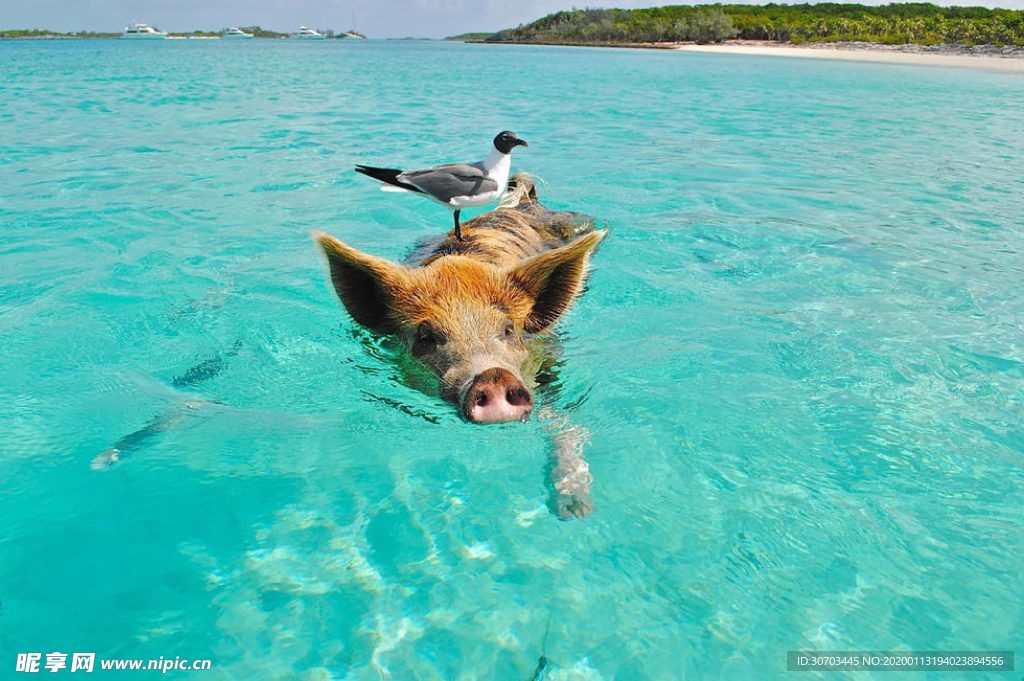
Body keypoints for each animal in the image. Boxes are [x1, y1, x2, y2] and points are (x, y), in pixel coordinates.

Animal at [315, 174, 602, 516]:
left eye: (509, 329)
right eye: (425, 336)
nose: (493, 375)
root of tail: (520, 203)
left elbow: (563, 422)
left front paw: (574, 510)